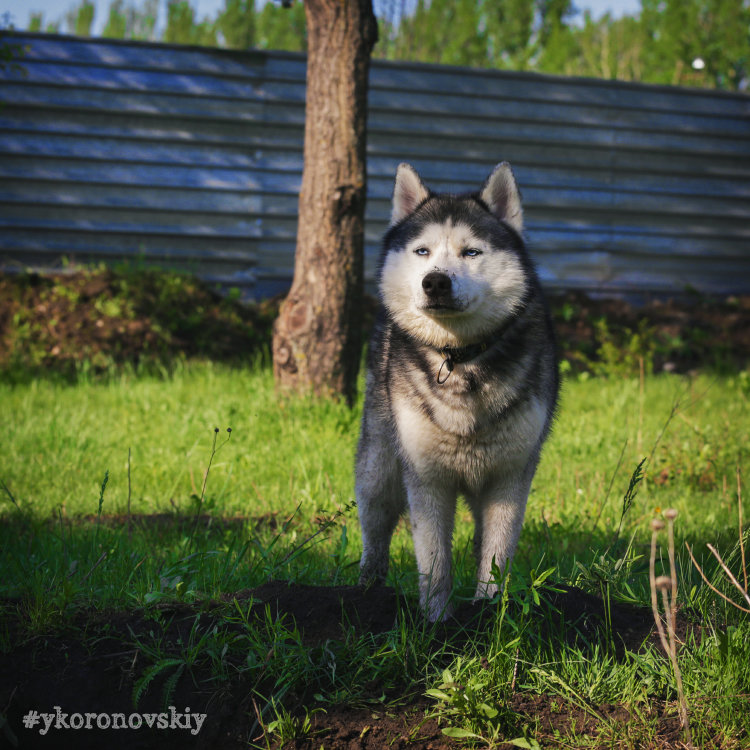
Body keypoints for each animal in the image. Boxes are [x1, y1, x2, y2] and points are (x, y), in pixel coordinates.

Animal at [356, 163, 560, 624]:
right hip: (378, 470)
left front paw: (490, 613)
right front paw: (436, 621)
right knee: (375, 533)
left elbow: (496, 556)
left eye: (471, 253)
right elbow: (434, 560)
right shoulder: (427, 478)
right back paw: (366, 594)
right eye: (422, 251)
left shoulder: (509, 477)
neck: (462, 359)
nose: (435, 282)